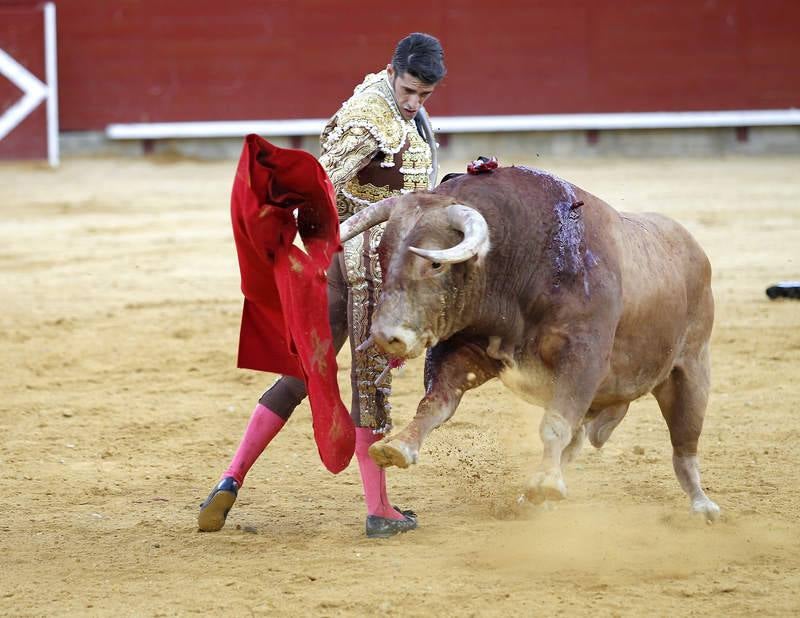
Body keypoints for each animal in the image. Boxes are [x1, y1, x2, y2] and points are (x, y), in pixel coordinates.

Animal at [338, 165, 720, 520]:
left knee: (684, 447)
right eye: (383, 255)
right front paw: (398, 446)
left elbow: (555, 423)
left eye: (435, 264)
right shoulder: (466, 349)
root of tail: (695, 250)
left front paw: (546, 483)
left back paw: (702, 505)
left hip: (691, 370)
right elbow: (435, 404)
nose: (386, 335)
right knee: (578, 440)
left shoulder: (583, 359)